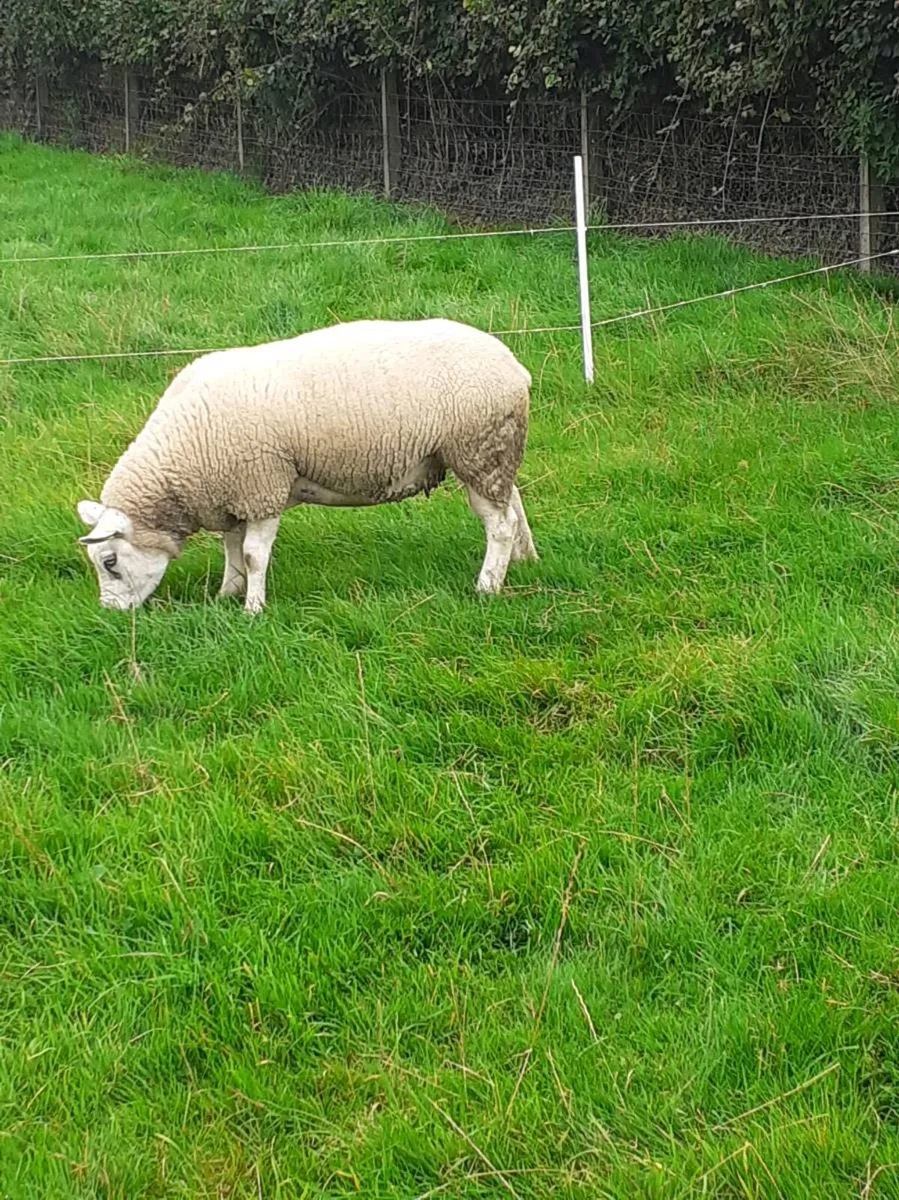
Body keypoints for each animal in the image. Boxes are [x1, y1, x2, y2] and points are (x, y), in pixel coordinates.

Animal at [77, 317, 538, 613]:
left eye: (110, 562)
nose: (109, 614)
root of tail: (514, 366)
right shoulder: (234, 494)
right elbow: (231, 549)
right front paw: (227, 594)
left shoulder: (262, 485)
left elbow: (253, 555)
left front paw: (253, 608)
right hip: (497, 450)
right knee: (512, 503)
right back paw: (524, 559)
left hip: (478, 447)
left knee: (498, 525)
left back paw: (487, 585)